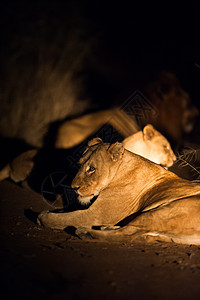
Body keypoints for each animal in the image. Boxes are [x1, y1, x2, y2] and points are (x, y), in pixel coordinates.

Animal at [37, 138, 200, 244]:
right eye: (80, 164)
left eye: (92, 169)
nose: (74, 187)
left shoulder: (95, 214)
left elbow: (66, 218)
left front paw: (44, 217)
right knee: (139, 232)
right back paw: (107, 228)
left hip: (162, 211)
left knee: (127, 235)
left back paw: (86, 233)